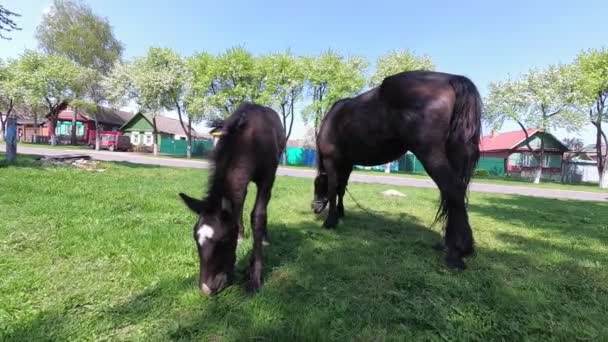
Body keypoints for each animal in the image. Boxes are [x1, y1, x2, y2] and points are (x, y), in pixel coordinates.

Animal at [179, 102, 286, 294]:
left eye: (223, 240)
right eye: (195, 238)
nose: (207, 289)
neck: (251, 141)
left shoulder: (267, 179)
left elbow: (258, 216)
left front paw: (255, 277)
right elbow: (238, 208)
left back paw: (265, 239)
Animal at [314, 71, 480, 270]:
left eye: (317, 185)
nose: (314, 207)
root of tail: (450, 78)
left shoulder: (331, 161)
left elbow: (333, 189)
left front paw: (330, 221)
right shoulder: (347, 164)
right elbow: (341, 189)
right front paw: (340, 213)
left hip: (430, 153)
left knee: (453, 190)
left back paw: (456, 253)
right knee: (452, 195)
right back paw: (451, 245)